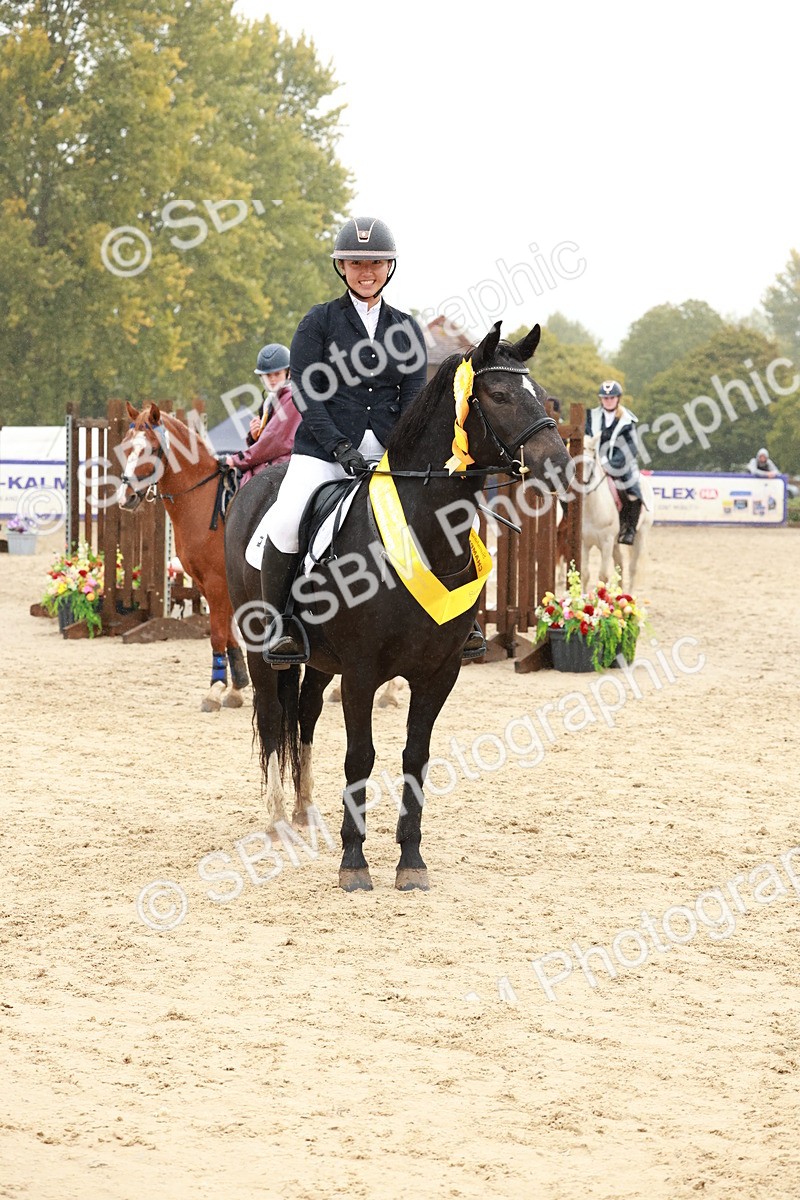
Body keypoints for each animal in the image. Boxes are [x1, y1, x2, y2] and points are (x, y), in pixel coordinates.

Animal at [118, 404, 250, 712]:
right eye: (126, 446)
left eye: (151, 449)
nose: (126, 497)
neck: (203, 500)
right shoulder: (206, 583)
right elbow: (227, 631)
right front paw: (236, 685)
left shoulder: (216, 583)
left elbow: (217, 633)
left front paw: (215, 689)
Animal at [224, 321, 572, 892]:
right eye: (499, 395)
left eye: (542, 395)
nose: (560, 468)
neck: (425, 535)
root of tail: (256, 485)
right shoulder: (363, 672)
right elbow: (360, 756)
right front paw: (354, 862)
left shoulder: (439, 672)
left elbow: (416, 756)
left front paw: (411, 860)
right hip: (260, 647)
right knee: (274, 718)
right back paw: (277, 821)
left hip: (322, 662)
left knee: (306, 715)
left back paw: (305, 811)